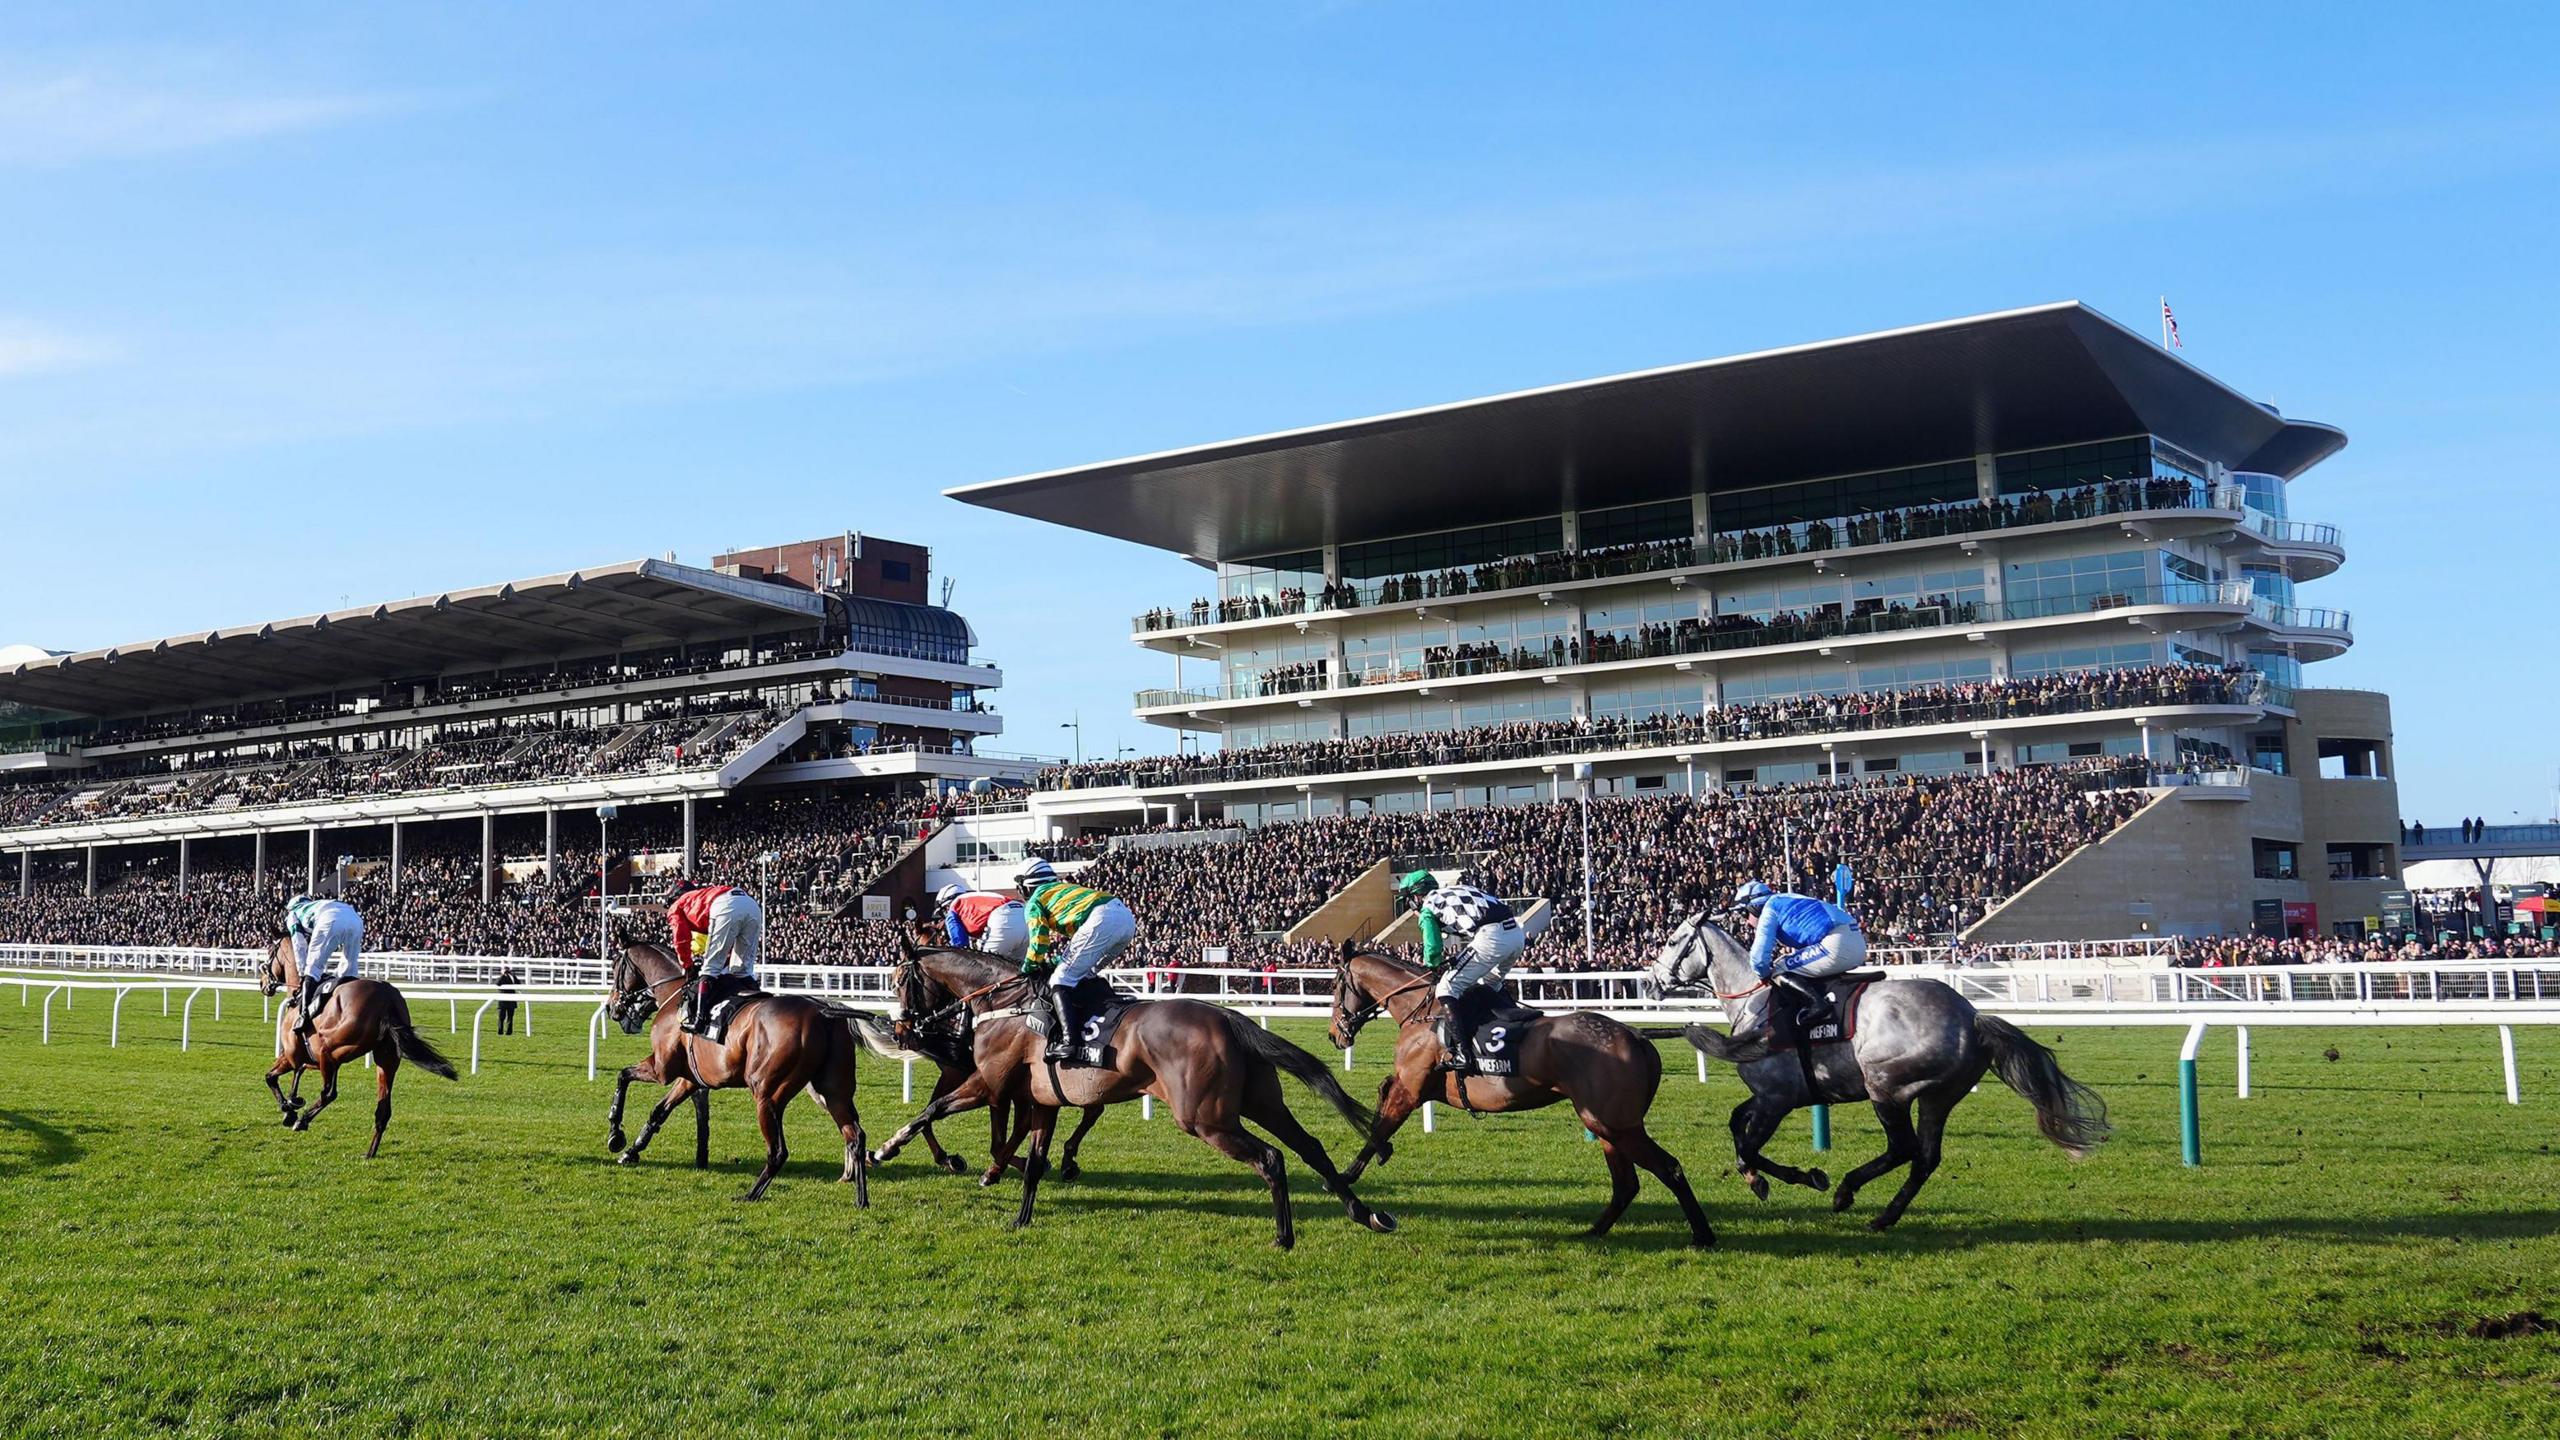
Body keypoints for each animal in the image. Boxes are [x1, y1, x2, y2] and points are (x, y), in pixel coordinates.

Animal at [262, 932, 463, 1153]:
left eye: (269, 953)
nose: (263, 984)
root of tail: (388, 1000)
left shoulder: (294, 1056)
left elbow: (271, 1077)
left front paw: (289, 1109)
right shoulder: (311, 1059)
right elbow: (294, 1074)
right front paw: (292, 1103)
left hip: (329, 1051)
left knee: (329, 1093)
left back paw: (303, 1121)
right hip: (386, 1059)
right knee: (383, 1109)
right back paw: (370, 1153)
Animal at [606, 932, 880, 1199]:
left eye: (615, 965)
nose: (611, 1007)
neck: (675, 993)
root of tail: (823, 1013)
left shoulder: (662, 1068)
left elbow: (623, 1076)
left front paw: (615, 1135)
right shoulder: (690, 1078)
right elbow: (659, 1111)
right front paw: (631, 1151)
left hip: (768, 1094)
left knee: (778, 1151)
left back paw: (751, 1195)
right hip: (835, 1091)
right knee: (855, 1136)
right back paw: (861, 1200)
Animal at [865, 942, 1402, 1245]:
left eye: (900, 981)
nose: (903, 1028)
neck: (1005, 1002)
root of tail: (1229, 1017)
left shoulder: (989, 1082)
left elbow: (932, 1109)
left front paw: (884, 1149)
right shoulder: (1040, 1100)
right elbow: (1032, 1160)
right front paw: (1021, 1216)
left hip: (1205, 1117)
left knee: (1271, 1158)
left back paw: (1284, 1236)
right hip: (1262, 1101)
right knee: (1310, 1146)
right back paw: (1366, 1213)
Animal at [1320, 942, 1720, 1245]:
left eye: (1337, 984)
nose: (1335, 1034)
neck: (1425, 1013)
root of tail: (1636, 1035)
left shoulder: (1412, 1087)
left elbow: (1381, 1126)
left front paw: (1344, 1176)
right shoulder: (1417, 1085)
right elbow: (1382, 1096)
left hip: (1616, 1124)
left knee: (1667, 1168)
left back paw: (1702, 1235)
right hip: (1607, 1124)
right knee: (1627, 1183)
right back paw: (1593, 1231)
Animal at [1648, 907, 2109, 1219]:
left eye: (1672, 940)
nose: (1652, 983)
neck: (1758, 1002)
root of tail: (1971, 1017)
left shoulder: (1776, 1099)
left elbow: (1748, 1146)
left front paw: (1794, 1178)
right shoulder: (1772, 1095)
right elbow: (1735, 1126)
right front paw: (1771, 1177)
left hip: (1887, 1087)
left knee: (1903, 1147)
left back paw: (1846, 1191)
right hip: (1939, 1097)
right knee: (1925, 1158)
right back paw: (1885, 1216)